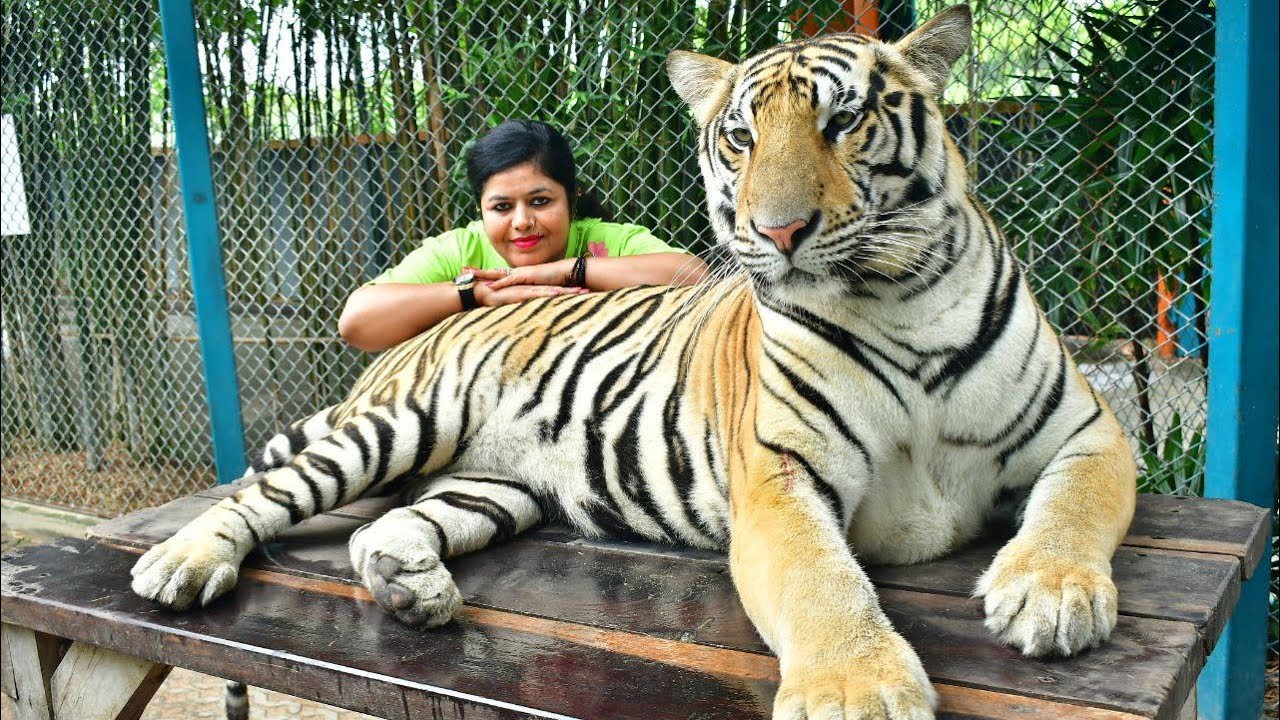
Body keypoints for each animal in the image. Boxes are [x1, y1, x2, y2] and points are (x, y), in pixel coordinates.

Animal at [130, 5, 1137, 718]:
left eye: (844, 120)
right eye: (740, 137)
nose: (778, 230)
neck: (902, 300)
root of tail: (415, 342)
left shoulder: (1090, 431)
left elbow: (1074, 506)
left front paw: (1049, 593)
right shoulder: (778, 477)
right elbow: (823, 582)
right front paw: (858, 693)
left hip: (494, 485)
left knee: (382, 528)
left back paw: (411, 590)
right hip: (403, 424)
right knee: (263, 494)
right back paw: (180, 564)